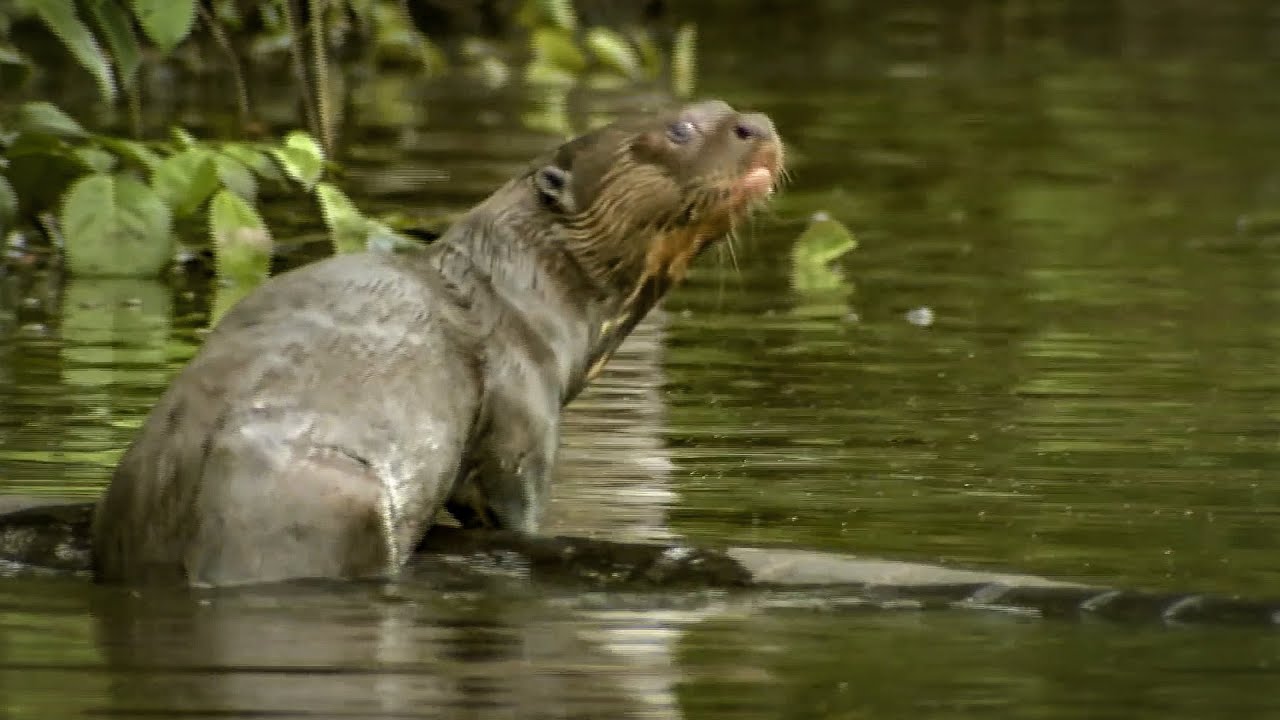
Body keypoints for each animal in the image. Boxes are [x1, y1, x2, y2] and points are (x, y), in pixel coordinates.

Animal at [92, 99, 778, 584]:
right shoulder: (520, 405)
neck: (523, 293)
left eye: (724, 106)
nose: (759, 125)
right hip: (328, 502)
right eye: (680, 128)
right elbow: (513, 503)